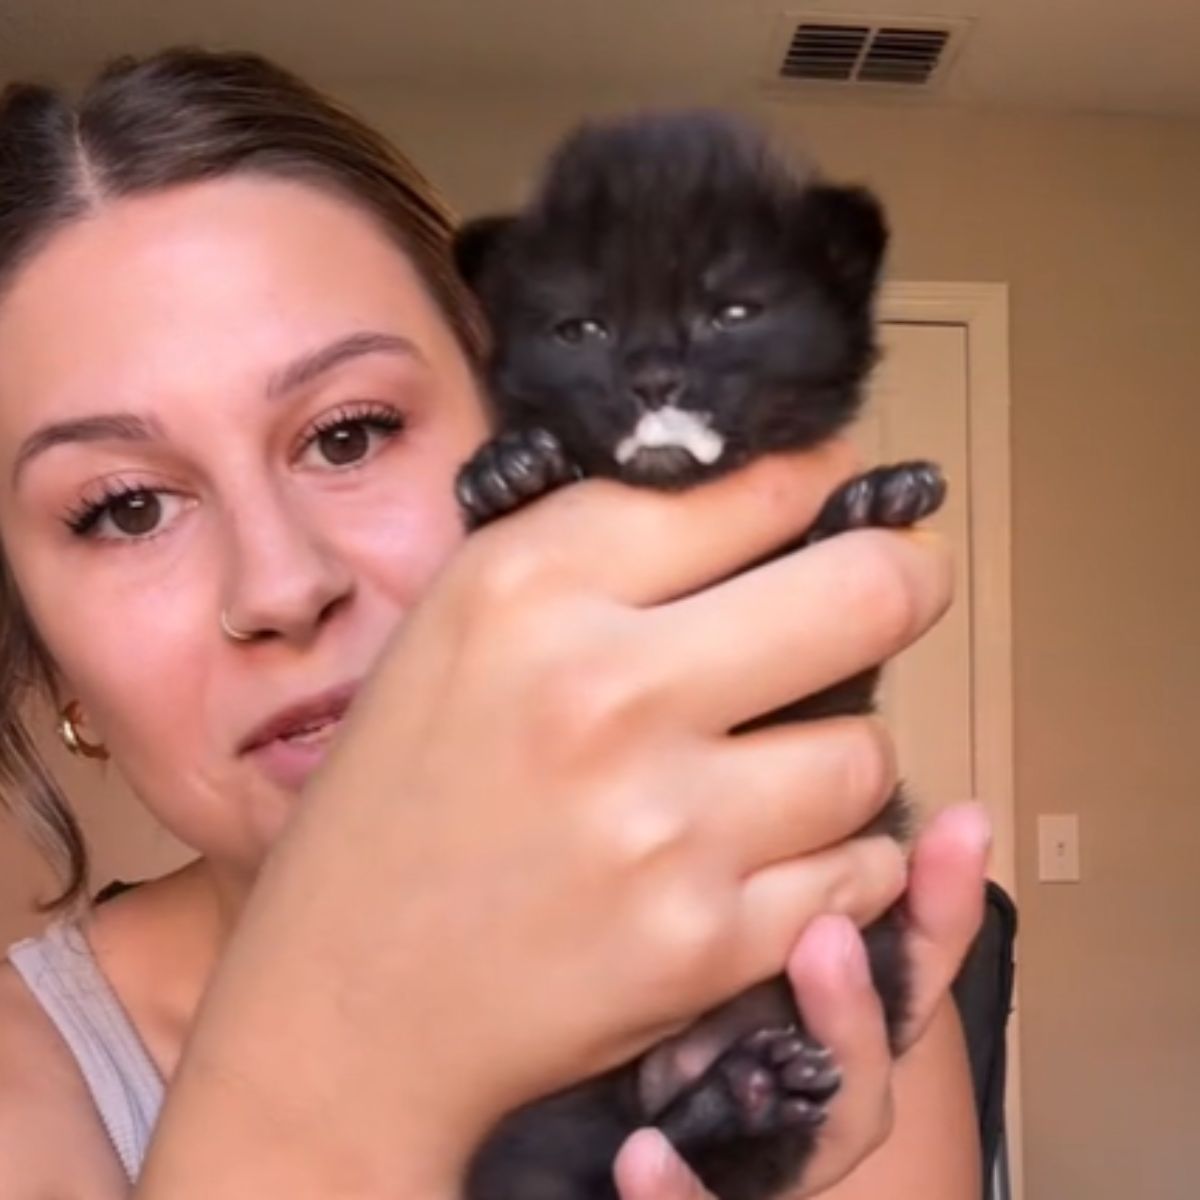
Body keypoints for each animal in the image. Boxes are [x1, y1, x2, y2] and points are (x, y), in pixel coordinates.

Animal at [453, 110, 940, 1200]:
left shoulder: (821, 683)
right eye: (582, 328)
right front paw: (507, 472)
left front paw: (869, 507)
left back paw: (742, 1097)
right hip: (543, 1116)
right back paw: (727, 1101)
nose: (652, 375)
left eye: (732, 311)